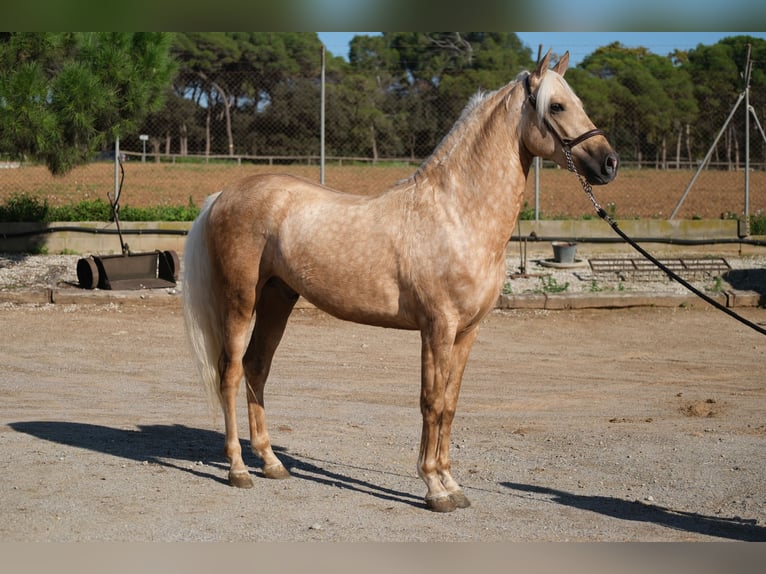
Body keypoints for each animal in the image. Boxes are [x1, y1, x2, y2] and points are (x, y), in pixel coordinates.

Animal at [183, 50, 620, 512]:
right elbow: (430, 402)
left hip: (277, 299)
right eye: (556, 106)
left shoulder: (466, 332)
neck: (456, 212)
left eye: (576, 102)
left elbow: (449, 404)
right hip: (240, 301)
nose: (609, 163)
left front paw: (452, 483)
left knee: (257, 368)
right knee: (230, 373)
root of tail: (222, 195)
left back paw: (271, 463)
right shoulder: (437, 328)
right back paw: (238, 470)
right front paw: (434, 488)